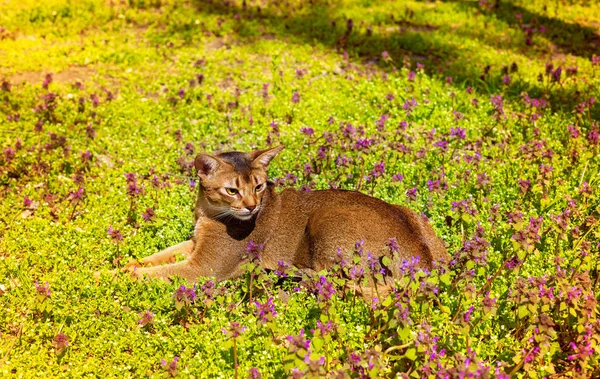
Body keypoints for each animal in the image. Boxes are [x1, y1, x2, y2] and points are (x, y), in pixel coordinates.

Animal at [117, 147, 448, 284]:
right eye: (232, 190)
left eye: (259, 186)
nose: (252, 207)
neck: (209, 212)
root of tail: (425, 261)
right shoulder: (195, 243)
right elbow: (157, 257)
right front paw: (125, 262)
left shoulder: (203, 268)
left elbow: (154, 273)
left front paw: (108, 276)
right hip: (416, 215)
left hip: (325, 216)